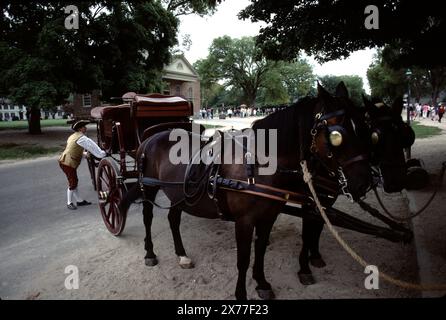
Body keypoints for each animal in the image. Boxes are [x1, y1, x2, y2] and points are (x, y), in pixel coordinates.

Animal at [120, 83, 372, 300]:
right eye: (337, 135)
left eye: (364, 128)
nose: (365, 183)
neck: (258, 164)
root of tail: (151, 137)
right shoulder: (244, 221)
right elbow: (243, 258)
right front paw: (241, 294)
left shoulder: (268, 217)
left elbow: (259, 251)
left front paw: (261, 283)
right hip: (149, 187)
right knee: (148, 217)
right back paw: (150, 253)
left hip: (178, 194)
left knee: (173, 219)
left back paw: (181, 255)